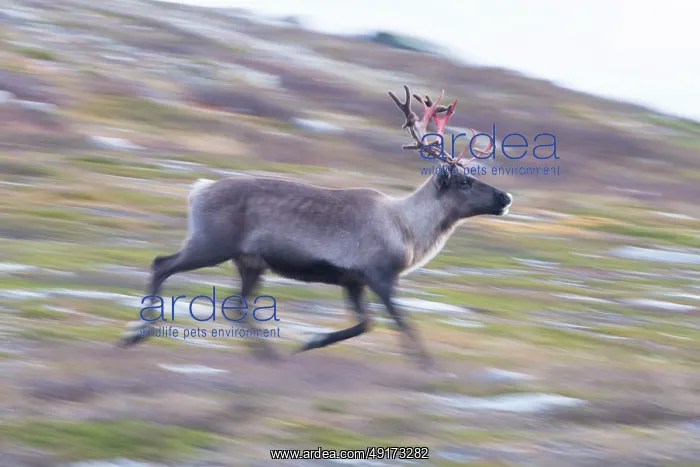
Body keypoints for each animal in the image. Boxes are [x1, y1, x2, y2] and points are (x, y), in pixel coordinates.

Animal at [117, 85, 513, 369]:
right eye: (464, 182)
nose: (506, 197)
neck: (409, 230)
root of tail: (197, 189)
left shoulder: (353, 281)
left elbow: (366, 324)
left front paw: (309, 342)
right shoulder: (380, 275)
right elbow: (402, 322)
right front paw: (429, 367)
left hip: (249, 262)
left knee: (237, 305)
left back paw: (267, 355)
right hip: (211, 244)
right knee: (161, 264)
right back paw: (136, 335)